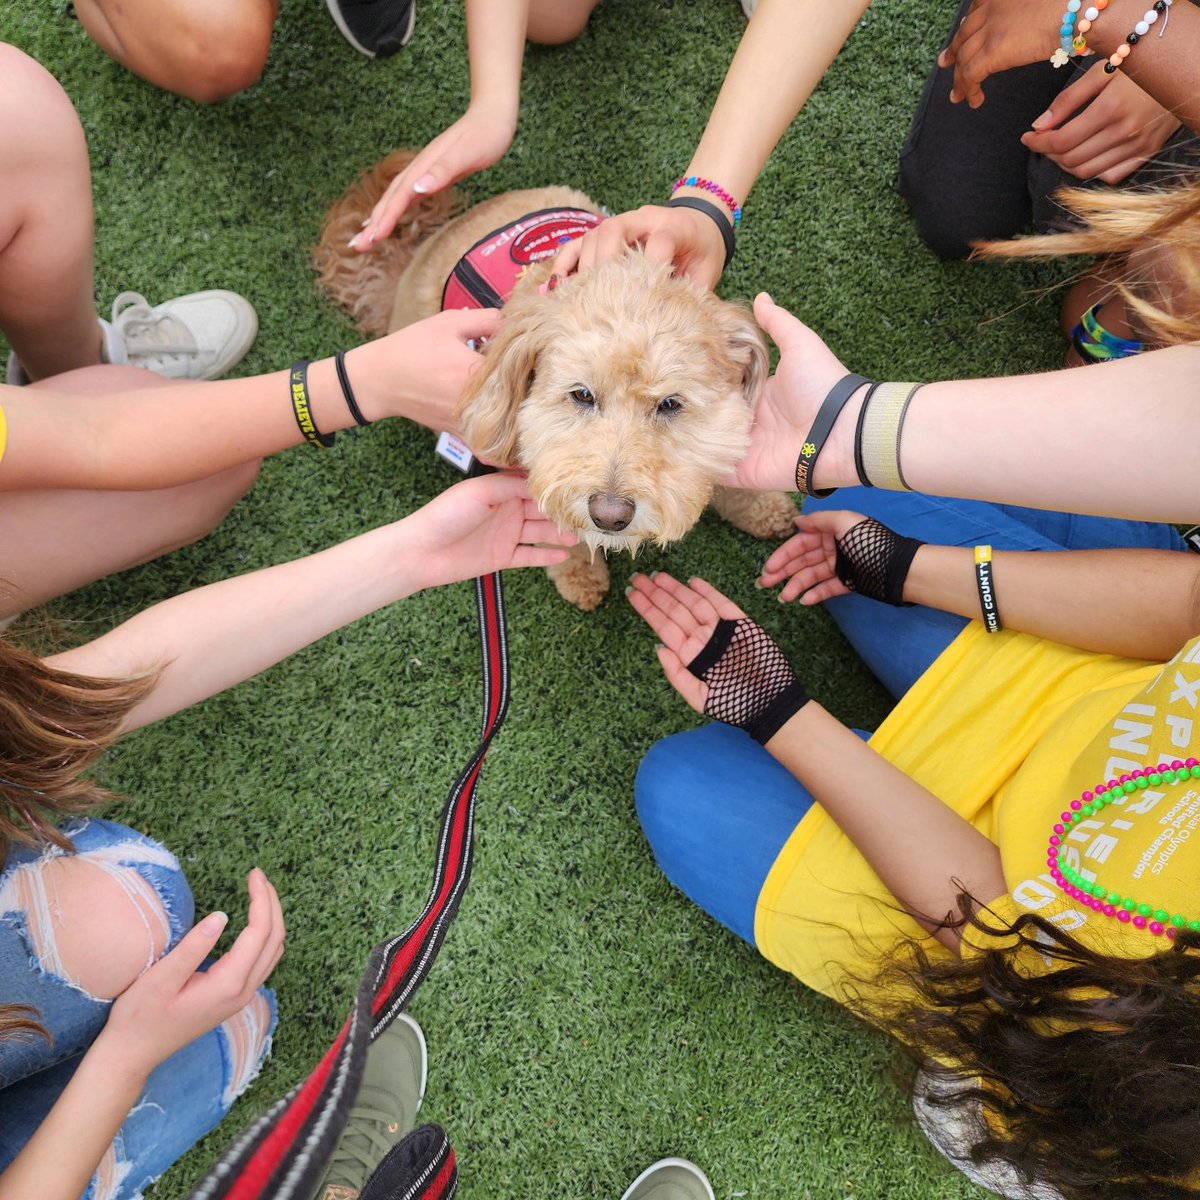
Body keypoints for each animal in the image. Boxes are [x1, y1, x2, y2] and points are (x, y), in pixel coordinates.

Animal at [316, 152, 796, 609]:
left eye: (671, 404)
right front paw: (580, 577)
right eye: (581, 395)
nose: (610, 515)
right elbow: (561, 532)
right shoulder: (540, 462)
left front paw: (762, 506)